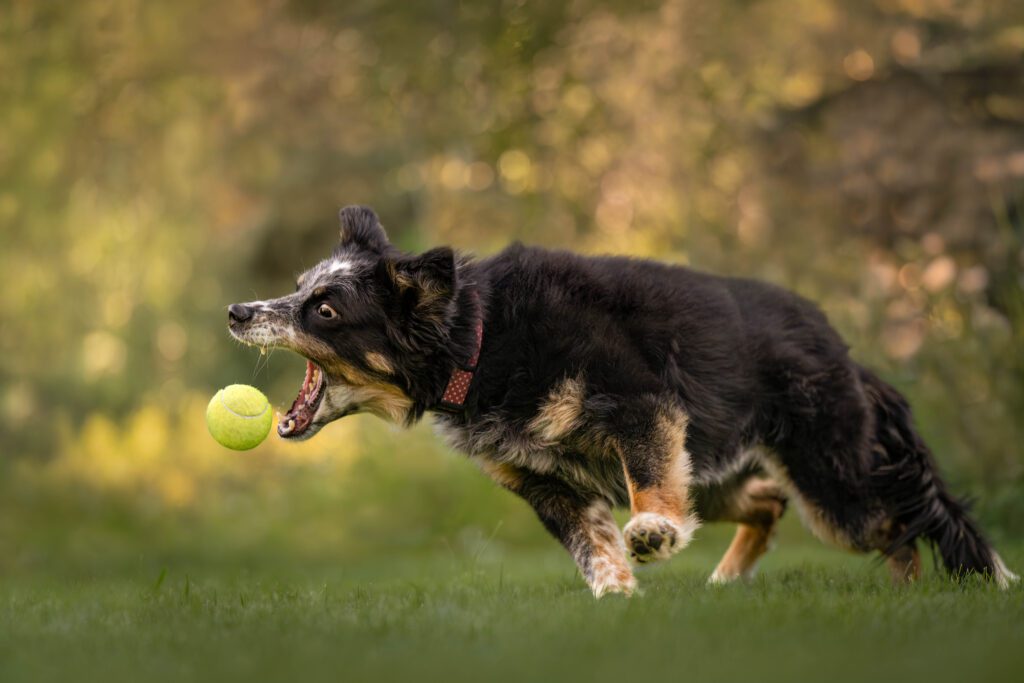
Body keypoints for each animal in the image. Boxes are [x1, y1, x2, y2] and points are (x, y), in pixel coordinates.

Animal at [226, 205, 1015, 593]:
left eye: (325, 309)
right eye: (300, 288)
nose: (236, 310)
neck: (479, 338)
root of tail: (843, 348)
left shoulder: (643, 412)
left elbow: (647, 492)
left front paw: (654, 534)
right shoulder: (545, 484)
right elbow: (593, 548)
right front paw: (619, 598)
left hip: (835, 482)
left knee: (905, 520)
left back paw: (955, 586)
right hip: (720, 476)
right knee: (770, 501)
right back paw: (731, 580)